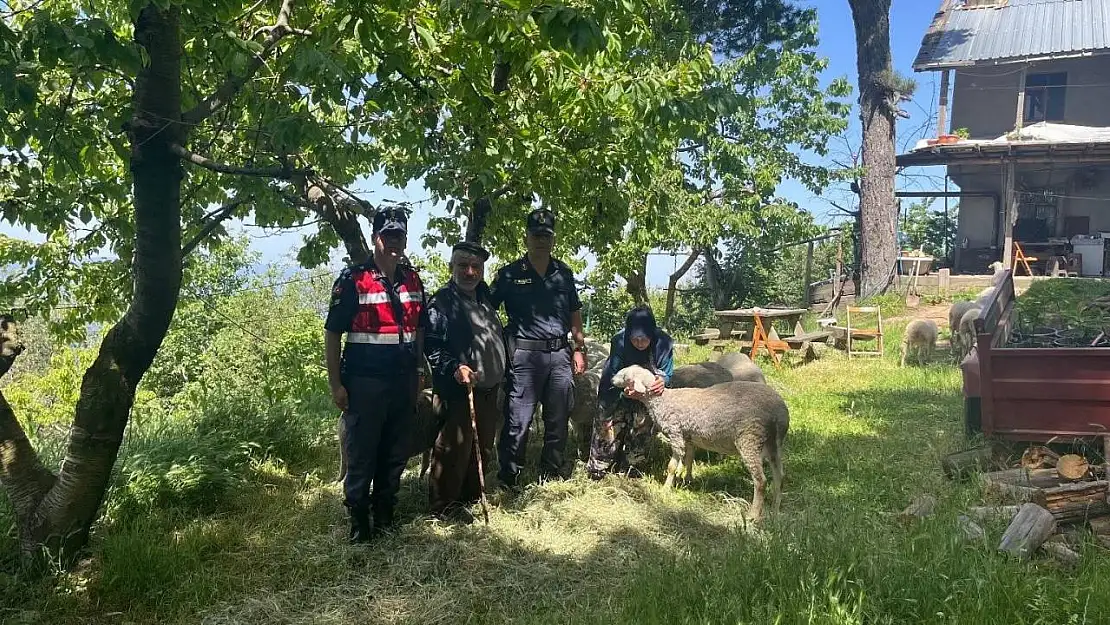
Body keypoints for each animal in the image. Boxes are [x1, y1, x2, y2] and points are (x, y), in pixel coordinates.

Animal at [608, 364, 790, 521]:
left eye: (624, 375)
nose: (611, 380)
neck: (662, 400)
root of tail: (779, 410)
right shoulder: (688, 437)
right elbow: (689, 459)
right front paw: (687, 479)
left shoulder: (676, 434)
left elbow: (672, 466)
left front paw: (665, 489)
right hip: (773, 443)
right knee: (779, 476)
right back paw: (775, 510)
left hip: (750, 438)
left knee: (761, 481)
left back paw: (754, 515)